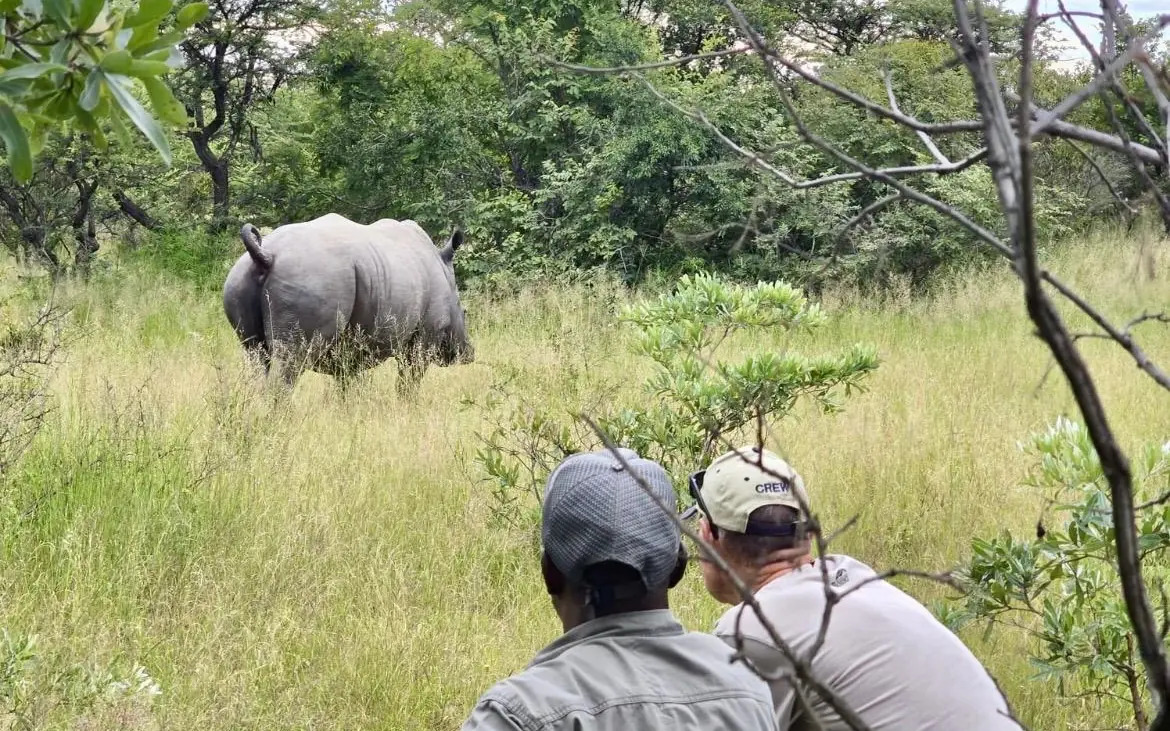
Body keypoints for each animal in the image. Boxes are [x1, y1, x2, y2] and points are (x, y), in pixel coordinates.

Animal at [222, 213, 474, 397]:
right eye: (464, 312)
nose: (468, 353)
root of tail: (266, 255)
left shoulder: (351, 349)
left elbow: (347, 382)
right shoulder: (427, 333)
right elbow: (410, 376)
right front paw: (407, 406)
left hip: (239, 279)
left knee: (256, 356)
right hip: (313, 276)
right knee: (289, 362)